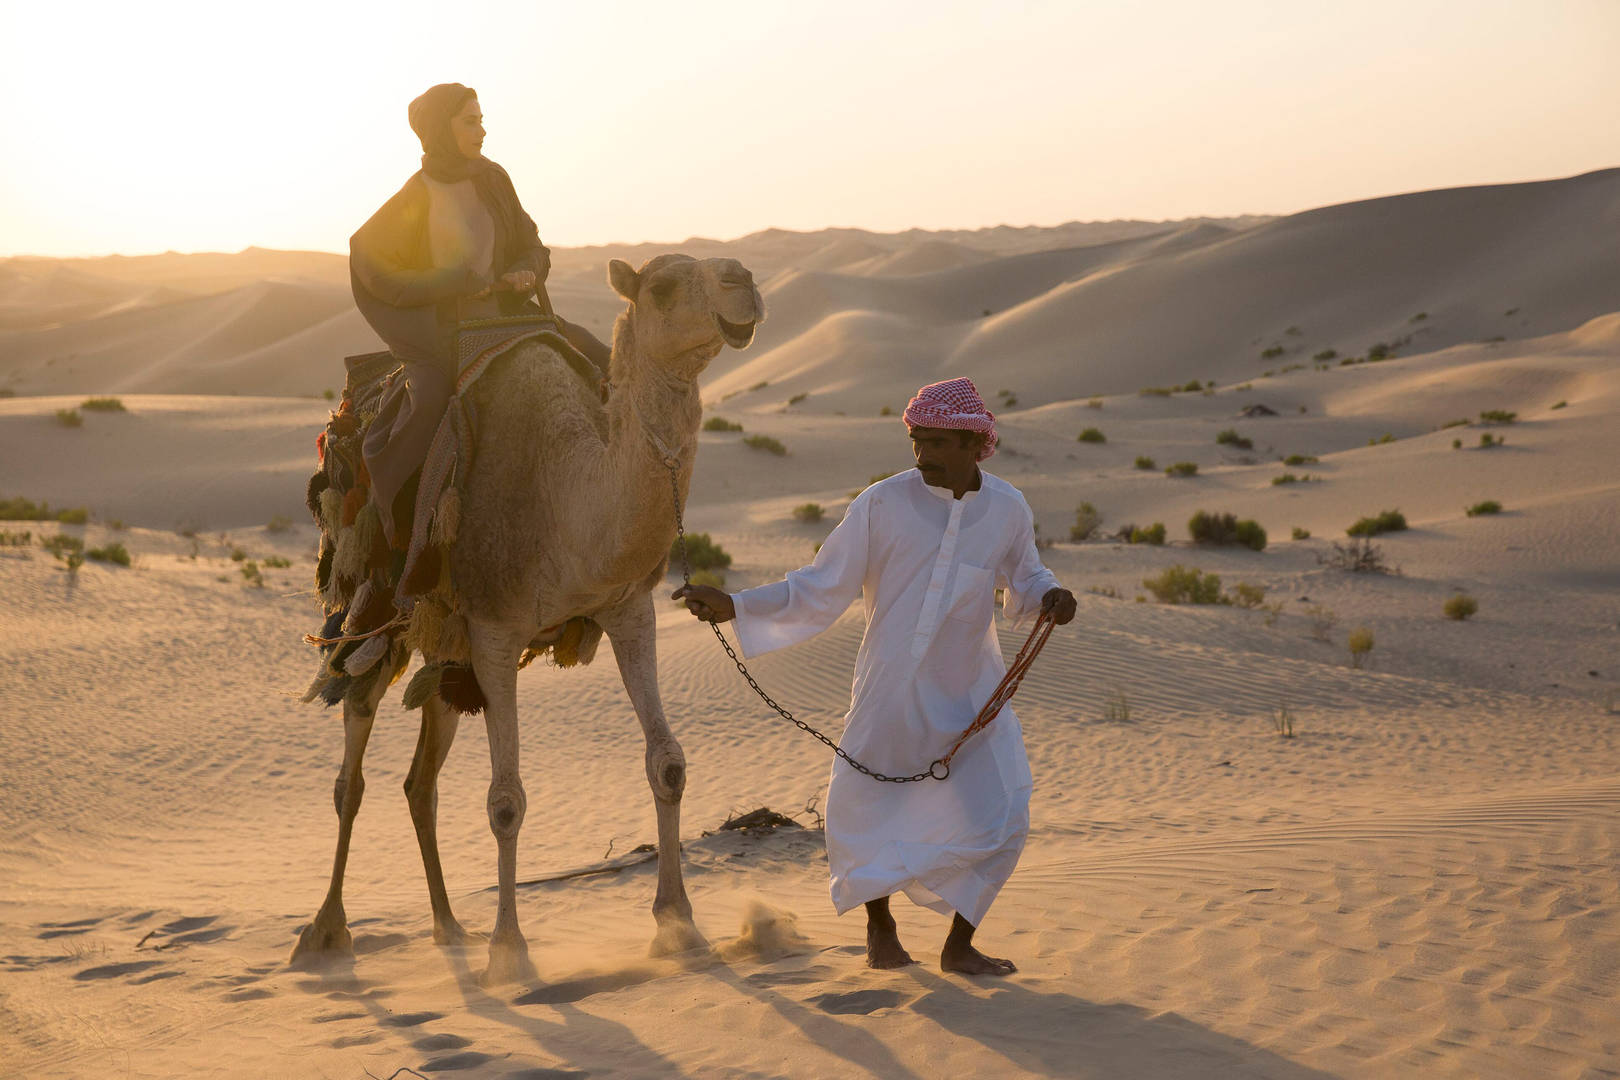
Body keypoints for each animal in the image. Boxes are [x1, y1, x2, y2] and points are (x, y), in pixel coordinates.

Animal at [289, 257, 764, 984]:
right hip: (377, 609)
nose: (743, 279)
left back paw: (448, 925)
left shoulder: (628, 610)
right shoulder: (496, 630)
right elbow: (506, 800)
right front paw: (509, 951)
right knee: (353, 765)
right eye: (660, 284)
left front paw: (678, 926)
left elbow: (668, 763)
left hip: (445, 646)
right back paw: (325, 929)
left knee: (420, 782)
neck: (566, 497)